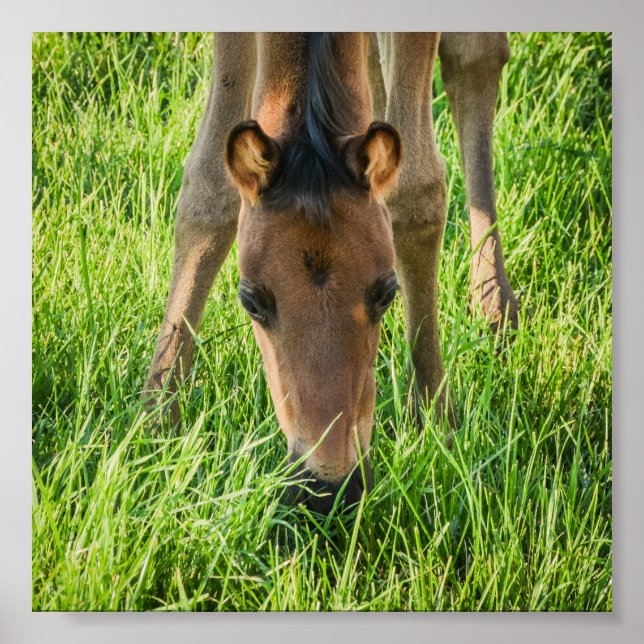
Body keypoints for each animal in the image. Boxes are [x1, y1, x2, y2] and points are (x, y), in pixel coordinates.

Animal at [143, 33, 519, 514]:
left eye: (386, 293)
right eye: (251, 301)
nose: (328, 489)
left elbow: (418, 188)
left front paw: (436, 423)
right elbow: (209, 186)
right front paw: (156, 420)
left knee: (475, 55)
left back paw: (495, 303)